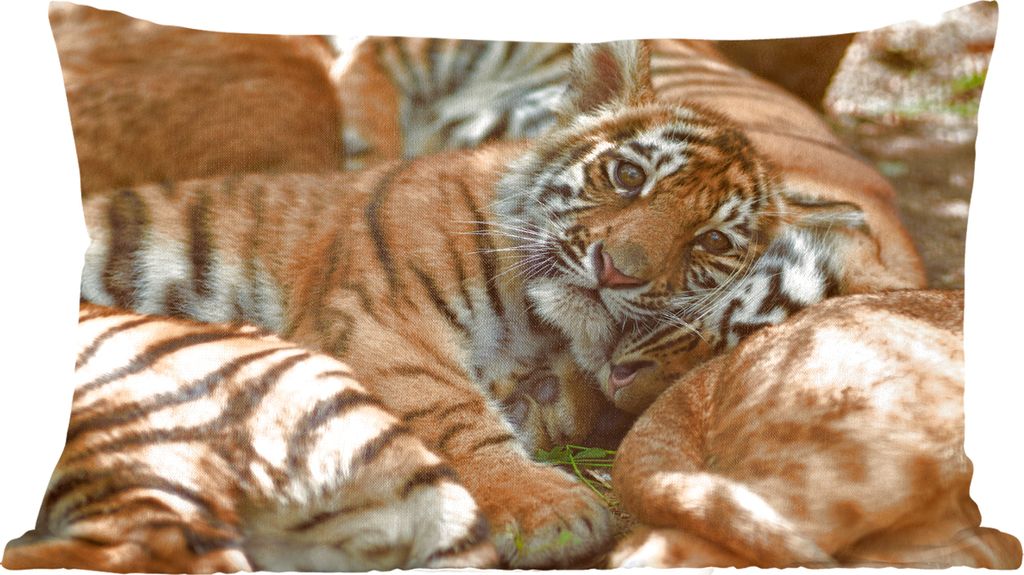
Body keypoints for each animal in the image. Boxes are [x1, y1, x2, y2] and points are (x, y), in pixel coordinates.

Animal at [76, 40, 917, 567]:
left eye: (710, 241)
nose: (618, 271)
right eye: (628, 176)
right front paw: (550, 510)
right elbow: (450, 408)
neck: (545, 331)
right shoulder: (386, 313)